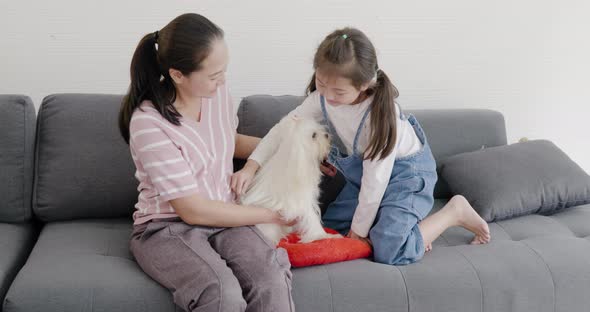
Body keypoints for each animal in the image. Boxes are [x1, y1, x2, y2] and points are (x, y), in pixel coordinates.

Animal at [239, 115, 342, 246]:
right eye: (314, 135)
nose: (327, 135)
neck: (297, 157)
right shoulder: (303, 202)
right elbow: (313, 219)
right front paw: (323, 236)